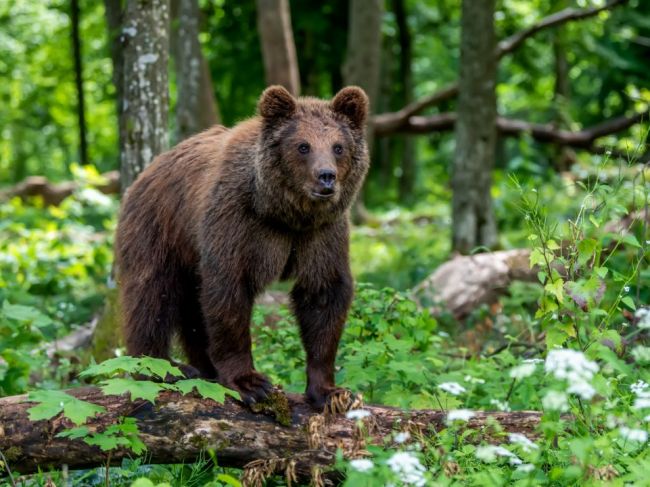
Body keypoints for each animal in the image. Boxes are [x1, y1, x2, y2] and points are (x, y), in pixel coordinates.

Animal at [114, 86, 368, 410]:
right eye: (303, 146)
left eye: (338, 146)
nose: (326, 176)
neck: (284, 213)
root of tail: (147, 170)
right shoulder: (237, 221)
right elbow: (229, 292)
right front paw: (250, 383)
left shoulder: (321, 234)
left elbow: (323, 296)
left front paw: (332, 392)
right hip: (160, 228)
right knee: (152, 294)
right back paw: (162, 367)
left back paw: (204, 368)